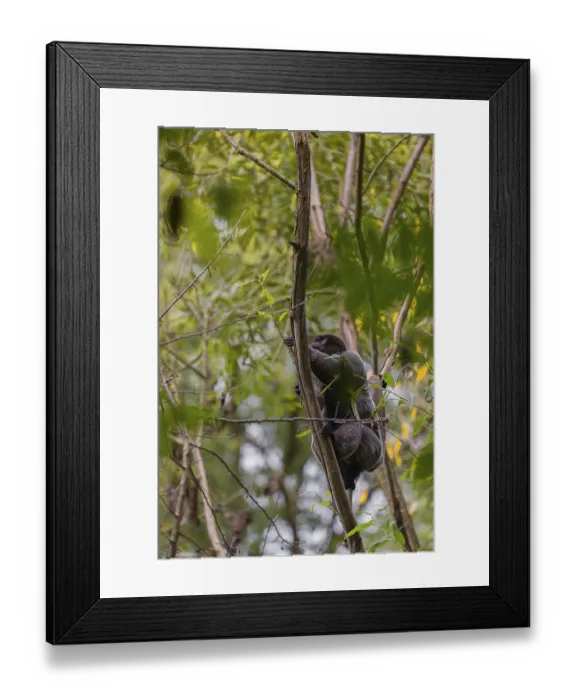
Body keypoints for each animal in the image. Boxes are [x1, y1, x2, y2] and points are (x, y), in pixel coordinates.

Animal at [285, 333, 384, 503]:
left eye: (321, 340)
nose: (314, 343)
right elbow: (318, 401)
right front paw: (299, 391)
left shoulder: (351, 357)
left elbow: (334, 370)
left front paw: (307, 351)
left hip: (374, 453)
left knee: (356, 427)